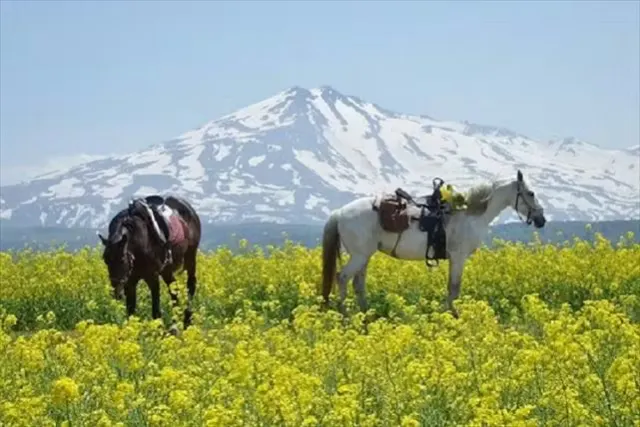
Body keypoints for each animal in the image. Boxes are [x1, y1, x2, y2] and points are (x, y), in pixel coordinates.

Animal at [98, 195, 202, 331]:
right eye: (105, 260)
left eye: (122, 259)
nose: (116, 293)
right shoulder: (130, 281)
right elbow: (131, 310)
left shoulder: (152, 277)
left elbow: (156, 311)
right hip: (166, 270)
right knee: (174, 289)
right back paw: (175, 324)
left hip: (190, 256)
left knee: (191, 284)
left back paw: (186, 320)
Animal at [321, 169, 546, 318]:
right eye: (531, 193)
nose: (541, 220)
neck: (469, 214)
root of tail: (339, 212)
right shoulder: (458, 257)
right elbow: (454, 288)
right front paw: (454, 316)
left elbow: (451, 289)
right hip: (359, 256)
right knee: (342, 278)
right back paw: (345, 315)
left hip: (364, 255)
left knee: (358, 283)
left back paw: (366, 314)